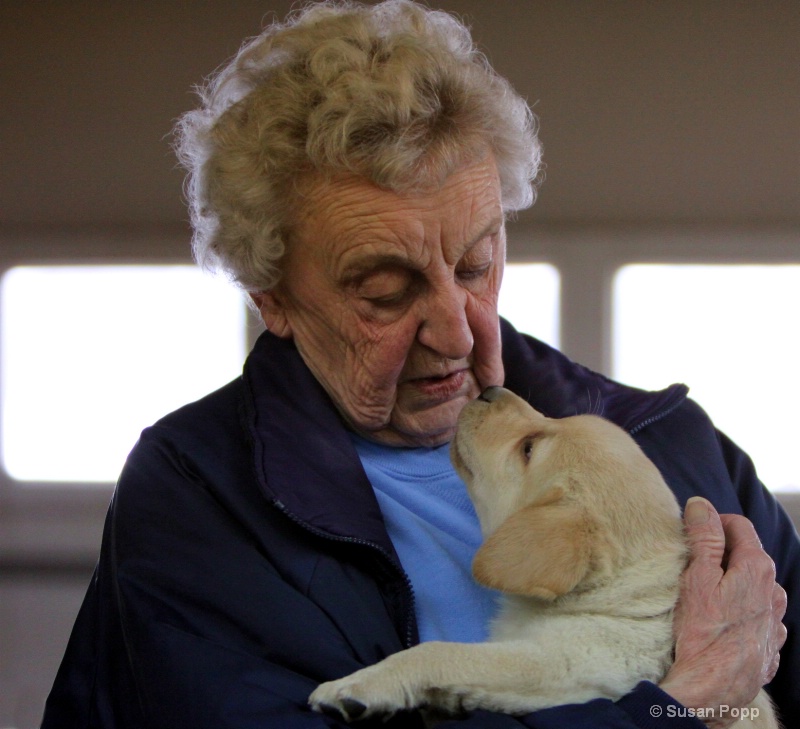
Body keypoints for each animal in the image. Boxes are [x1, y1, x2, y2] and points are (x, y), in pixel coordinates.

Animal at [310, 384, 780, 724]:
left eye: (528, 450)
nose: (490, 389)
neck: (614, 598)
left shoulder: (560, 669)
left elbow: (443, 652)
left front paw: (358, 686)